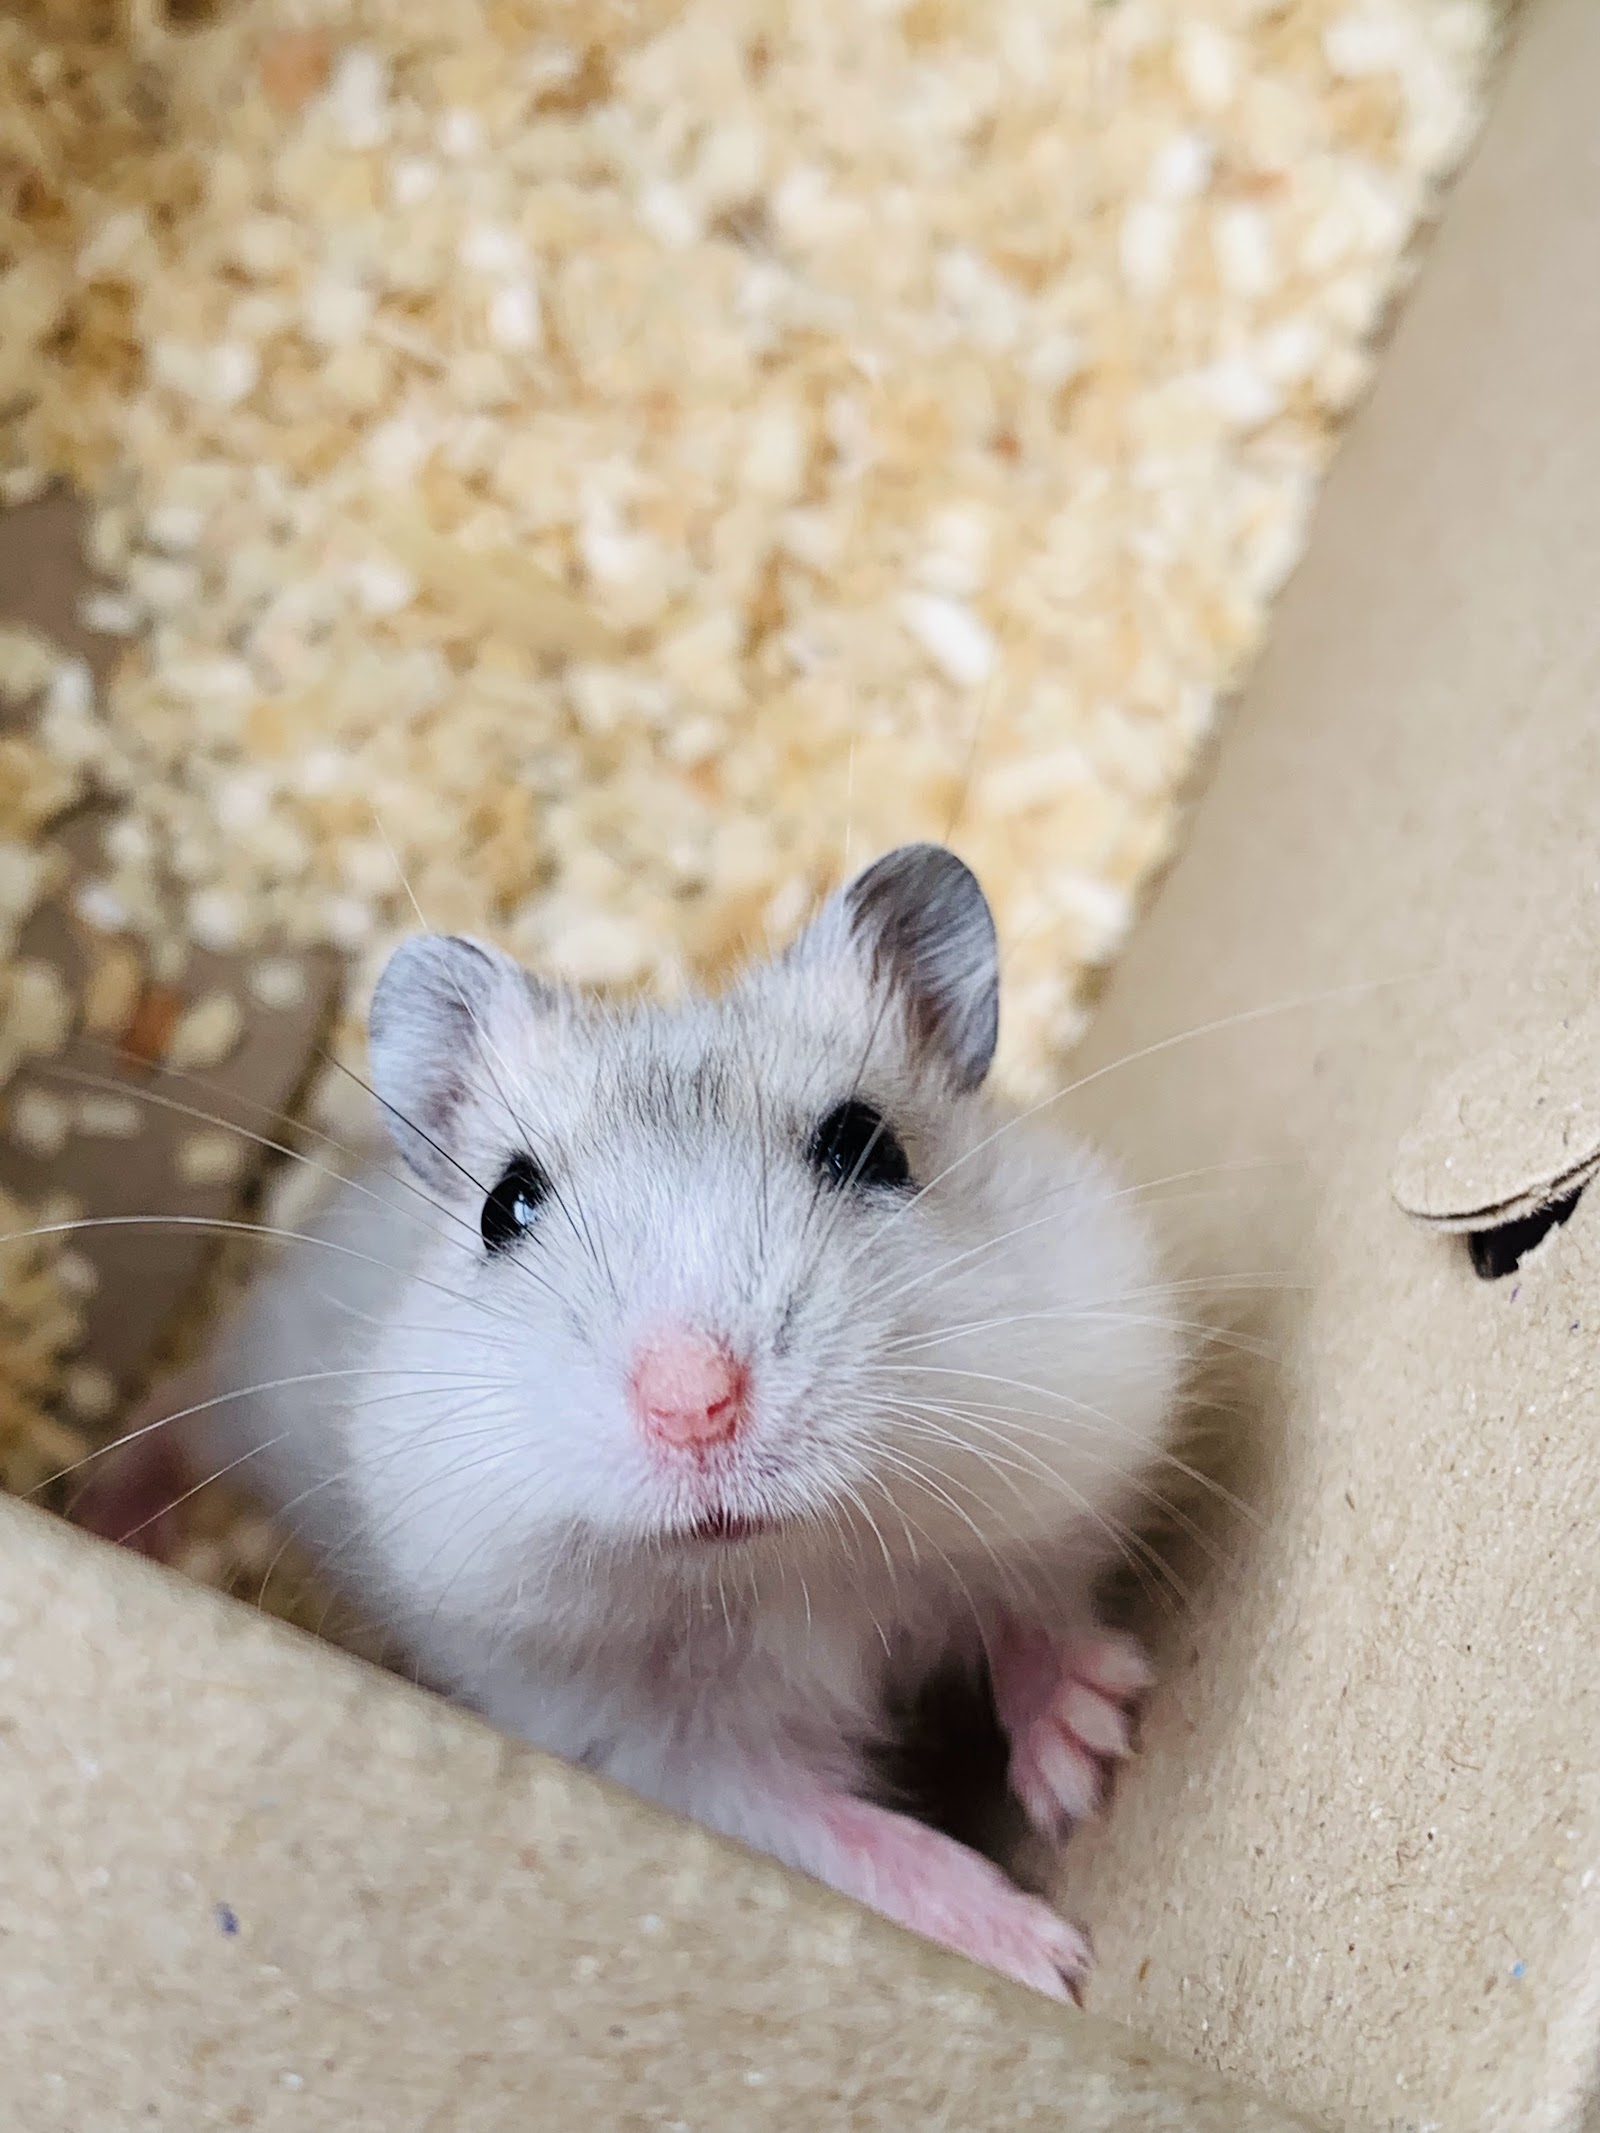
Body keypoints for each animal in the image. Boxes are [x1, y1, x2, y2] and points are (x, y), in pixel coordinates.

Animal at [102, 844, 1182, 2000]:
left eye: (868, 1146)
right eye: (506, 1206)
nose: (692, 1405)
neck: (784, 1570)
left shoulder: (1055, 1468)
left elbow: (1036, 1604)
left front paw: (1091, 1748)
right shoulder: (661, 1756)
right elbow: (826, 1826)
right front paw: (1040, 1952)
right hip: (249, 1374)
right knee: (183, 1405)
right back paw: (124, 1512)